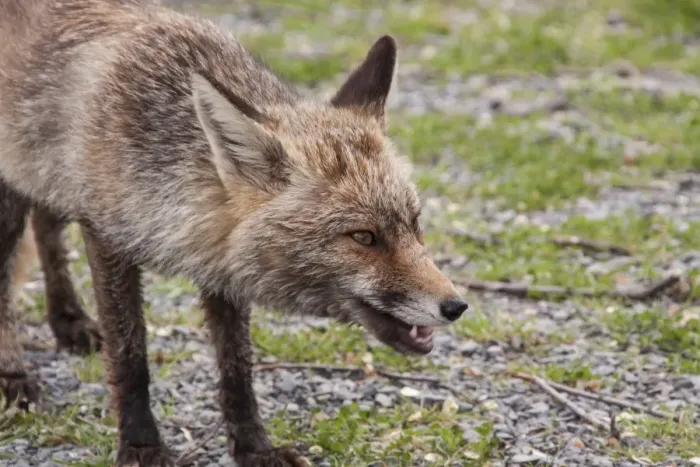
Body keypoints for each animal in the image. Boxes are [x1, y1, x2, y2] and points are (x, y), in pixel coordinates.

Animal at [0, 0, 469, 466]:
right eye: (364, 237)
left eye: (415, 225)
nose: (456, 306)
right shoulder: (106, 235)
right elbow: (131, 358)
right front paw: (140, 444)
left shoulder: (220, 262)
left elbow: (237, 367)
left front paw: (253, 448)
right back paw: (14, 374)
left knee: (45, 226)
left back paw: (67, 320)